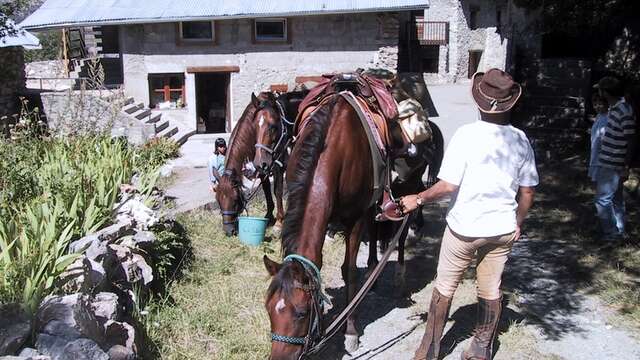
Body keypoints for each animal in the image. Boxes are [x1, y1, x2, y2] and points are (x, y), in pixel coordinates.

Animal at [215, 90, 308, 236]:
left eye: (235, 200)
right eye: (218, 200)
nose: (229, 230)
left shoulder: (277, 166)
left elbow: (277, 191)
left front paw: (279, 223)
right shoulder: (261, 166)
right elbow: (266, 190)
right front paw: (269, 216)